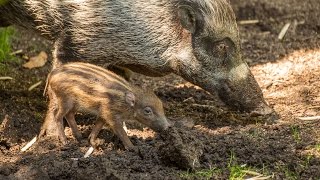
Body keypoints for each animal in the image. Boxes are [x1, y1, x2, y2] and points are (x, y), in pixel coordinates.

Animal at [41, 62, 170, 150]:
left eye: (161, 106)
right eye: (147, 111)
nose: (168, 127)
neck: (125, 104)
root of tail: (52, 74)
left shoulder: (103, 113)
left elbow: (98, 125)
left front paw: (93, 142)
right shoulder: (111, 115)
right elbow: (121, 132)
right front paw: (133, 148)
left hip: (75, 104)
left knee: (69, 115)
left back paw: (80, 138)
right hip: (65, 99)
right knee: (58, 115)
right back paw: (65, 142)